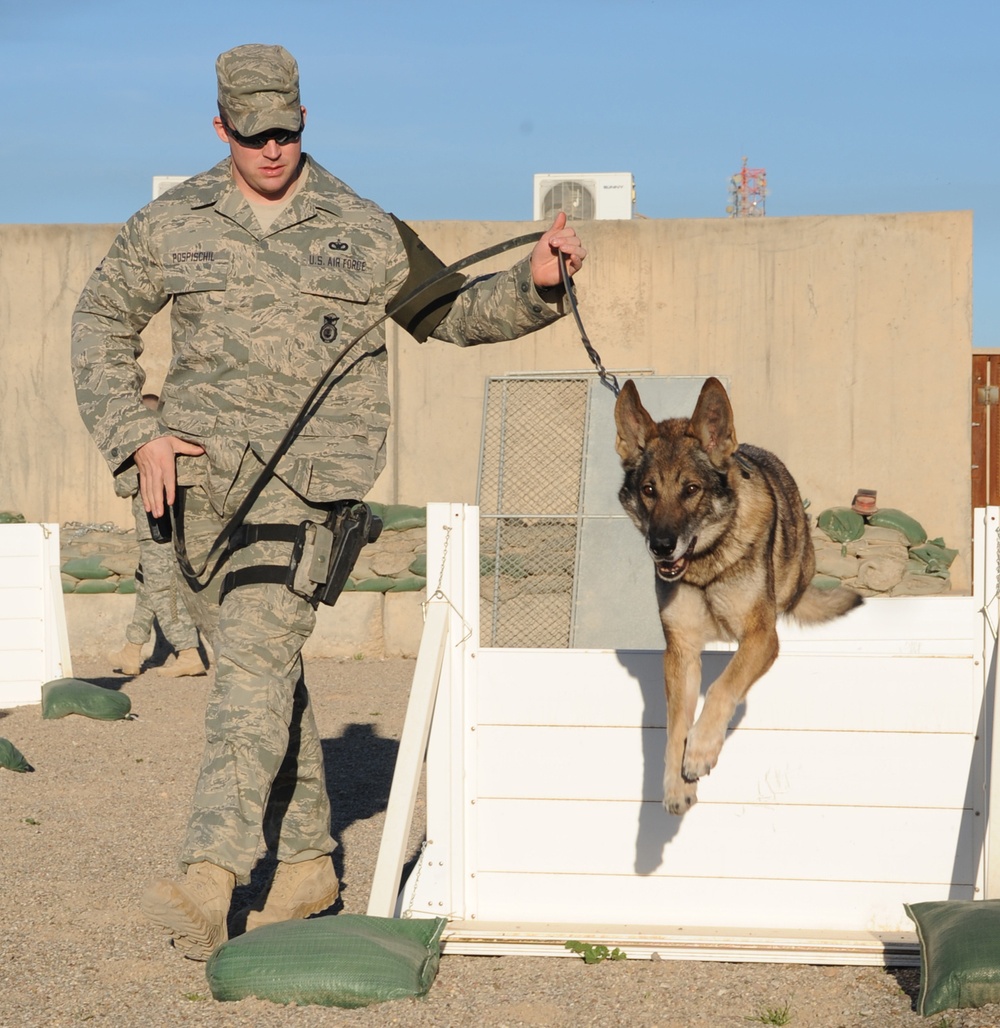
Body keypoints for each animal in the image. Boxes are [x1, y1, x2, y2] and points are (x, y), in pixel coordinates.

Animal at [612, 374, 863, 814]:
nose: (661, 547)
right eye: (648, 490)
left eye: (691, 489)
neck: (707, 566)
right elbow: (675, 725)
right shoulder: (681, 652)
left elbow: (724, 685)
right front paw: (676, 786)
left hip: (793, 576)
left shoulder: (762, 638)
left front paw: (700, 750)